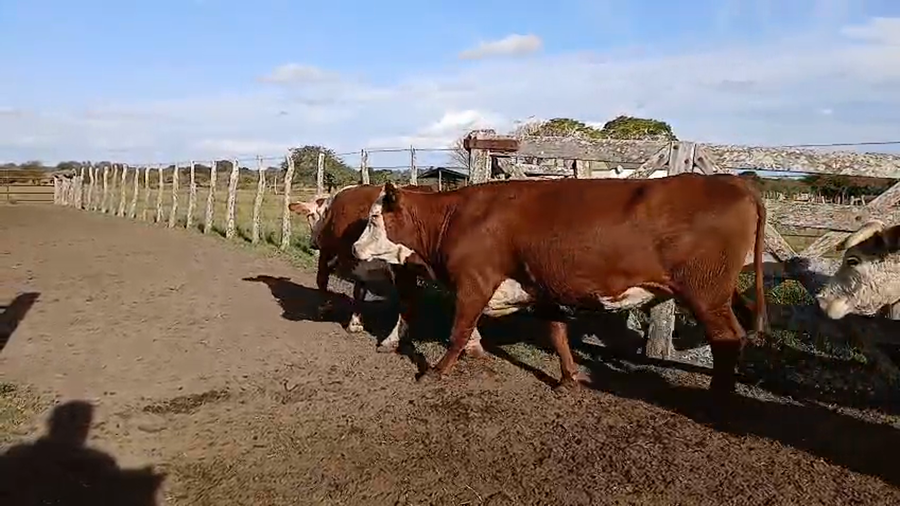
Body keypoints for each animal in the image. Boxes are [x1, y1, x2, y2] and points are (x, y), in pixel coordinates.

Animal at [289, 184, 487, 357]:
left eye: (311, 216)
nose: (313, 243)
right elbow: (359, 291)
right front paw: (355, 322)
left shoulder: (327, 253)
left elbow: (321, 280)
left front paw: (325, 307)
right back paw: (473, 343)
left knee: (408, 301)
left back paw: (391, 340)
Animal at [351, 174, 768, 396]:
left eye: (373, 219)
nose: (354, 247)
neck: (456, 217)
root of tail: (733, 180)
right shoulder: (540, 288)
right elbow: (557, 333)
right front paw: (568, 377)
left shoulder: (473, 283)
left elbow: (458, 332)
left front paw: (436, 371)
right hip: (720, 292)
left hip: (706, 294)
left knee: (727, 339)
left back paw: (718, 397)